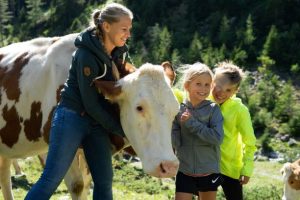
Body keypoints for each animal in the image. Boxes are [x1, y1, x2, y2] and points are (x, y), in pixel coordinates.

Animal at [0, 33, 179, 199]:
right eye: (139, 107)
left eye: (175, 110)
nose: (169, 166)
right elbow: (77, 185)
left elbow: (87, 184)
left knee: (4, 174)